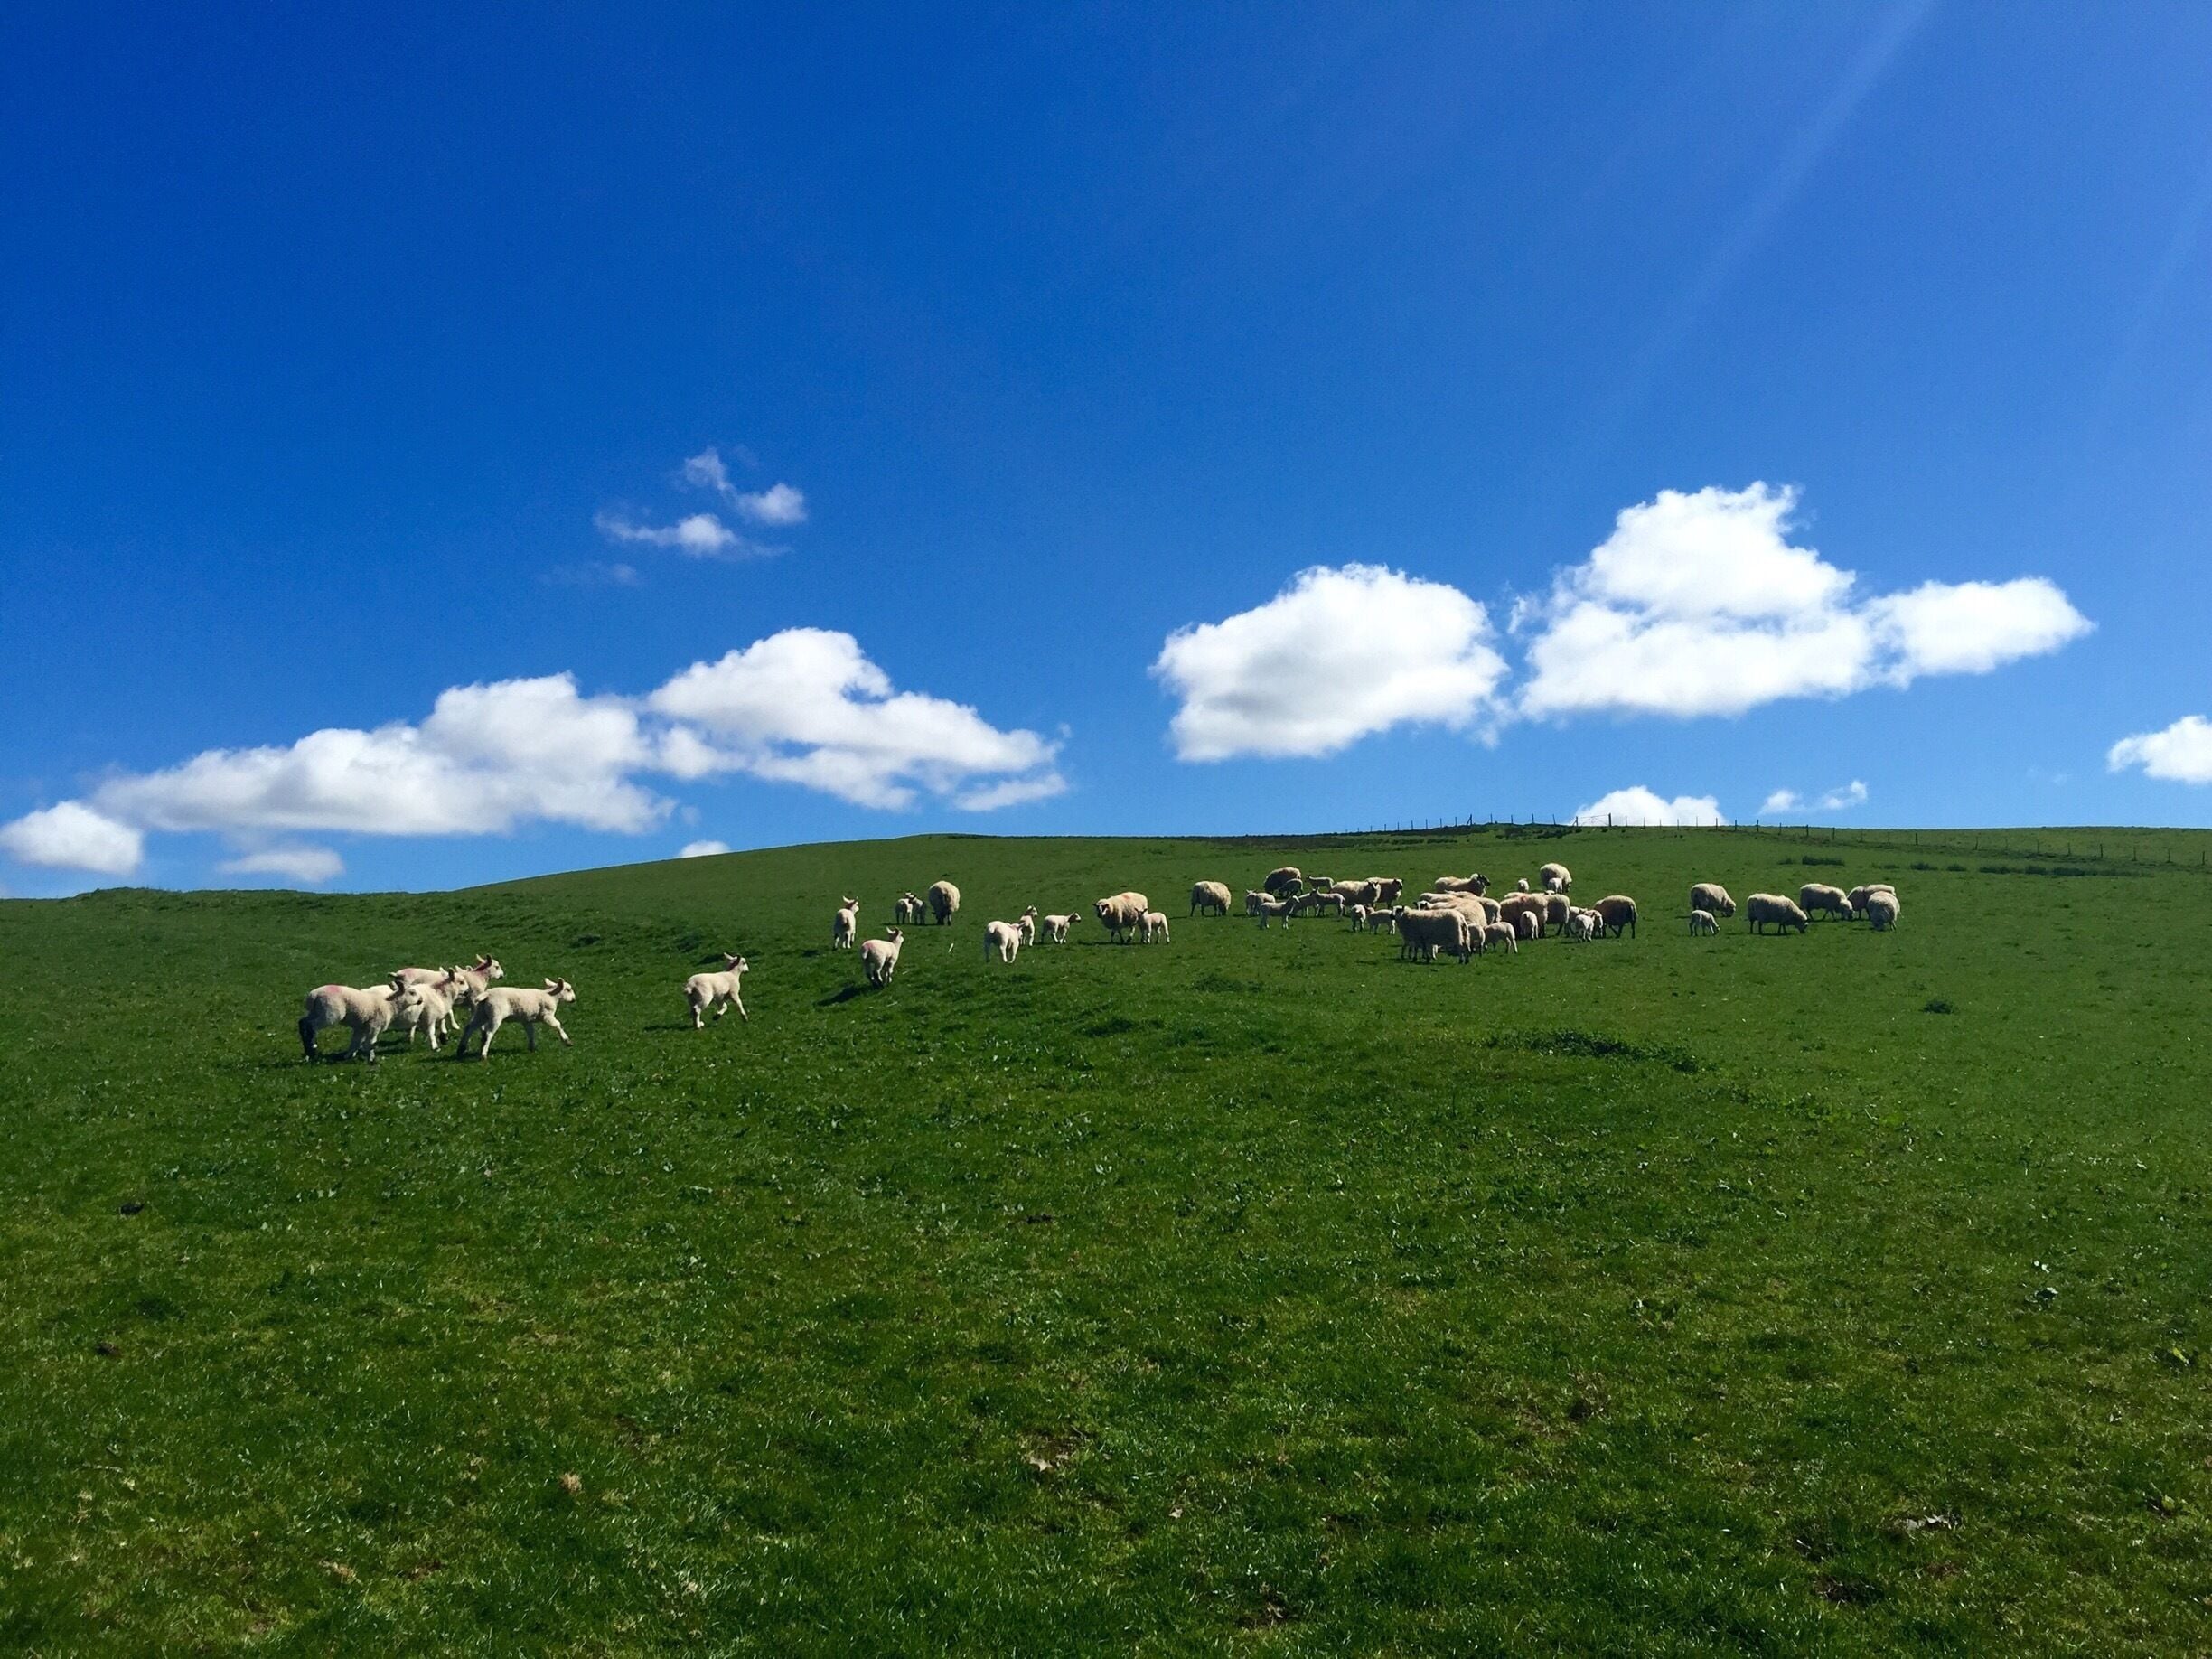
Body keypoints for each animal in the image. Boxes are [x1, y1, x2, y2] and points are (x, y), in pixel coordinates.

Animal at [456, 979, 575, 1058]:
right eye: (568, 990)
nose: (574, 999)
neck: (552, 996)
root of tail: (487, 994)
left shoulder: (526, 1019)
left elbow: (531, 1032)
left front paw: (532, 1048)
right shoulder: (547, 1015)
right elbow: (558, 1025)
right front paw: (567, 1041)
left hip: (481, 1013)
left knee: (469, 1028)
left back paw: (461, 1049)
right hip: (496, 1014)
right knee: (488, 1033)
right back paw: (483, 1054)